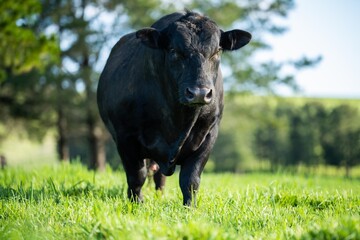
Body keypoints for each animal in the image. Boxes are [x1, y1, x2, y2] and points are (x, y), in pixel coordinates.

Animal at [97, 11, 252, 205]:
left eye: (217, 51)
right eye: (174, 51)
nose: (199, 93)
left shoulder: (209, 134)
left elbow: (190, 179)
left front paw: (189, 207)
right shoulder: (125, 137)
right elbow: (136, 176)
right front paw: (136, 204)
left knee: (159, 176)